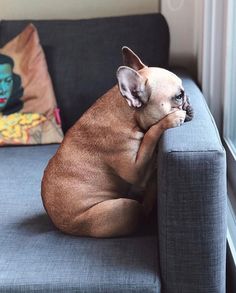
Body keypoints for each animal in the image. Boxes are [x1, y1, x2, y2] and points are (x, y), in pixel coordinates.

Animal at [41, 46, 193, 237]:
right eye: (179, 96)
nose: (189, 102)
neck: (128, 114)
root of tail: (64, 227)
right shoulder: (135, 170)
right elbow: (150, 134)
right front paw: (171, 119)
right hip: (123, 208)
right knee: (142, 210)